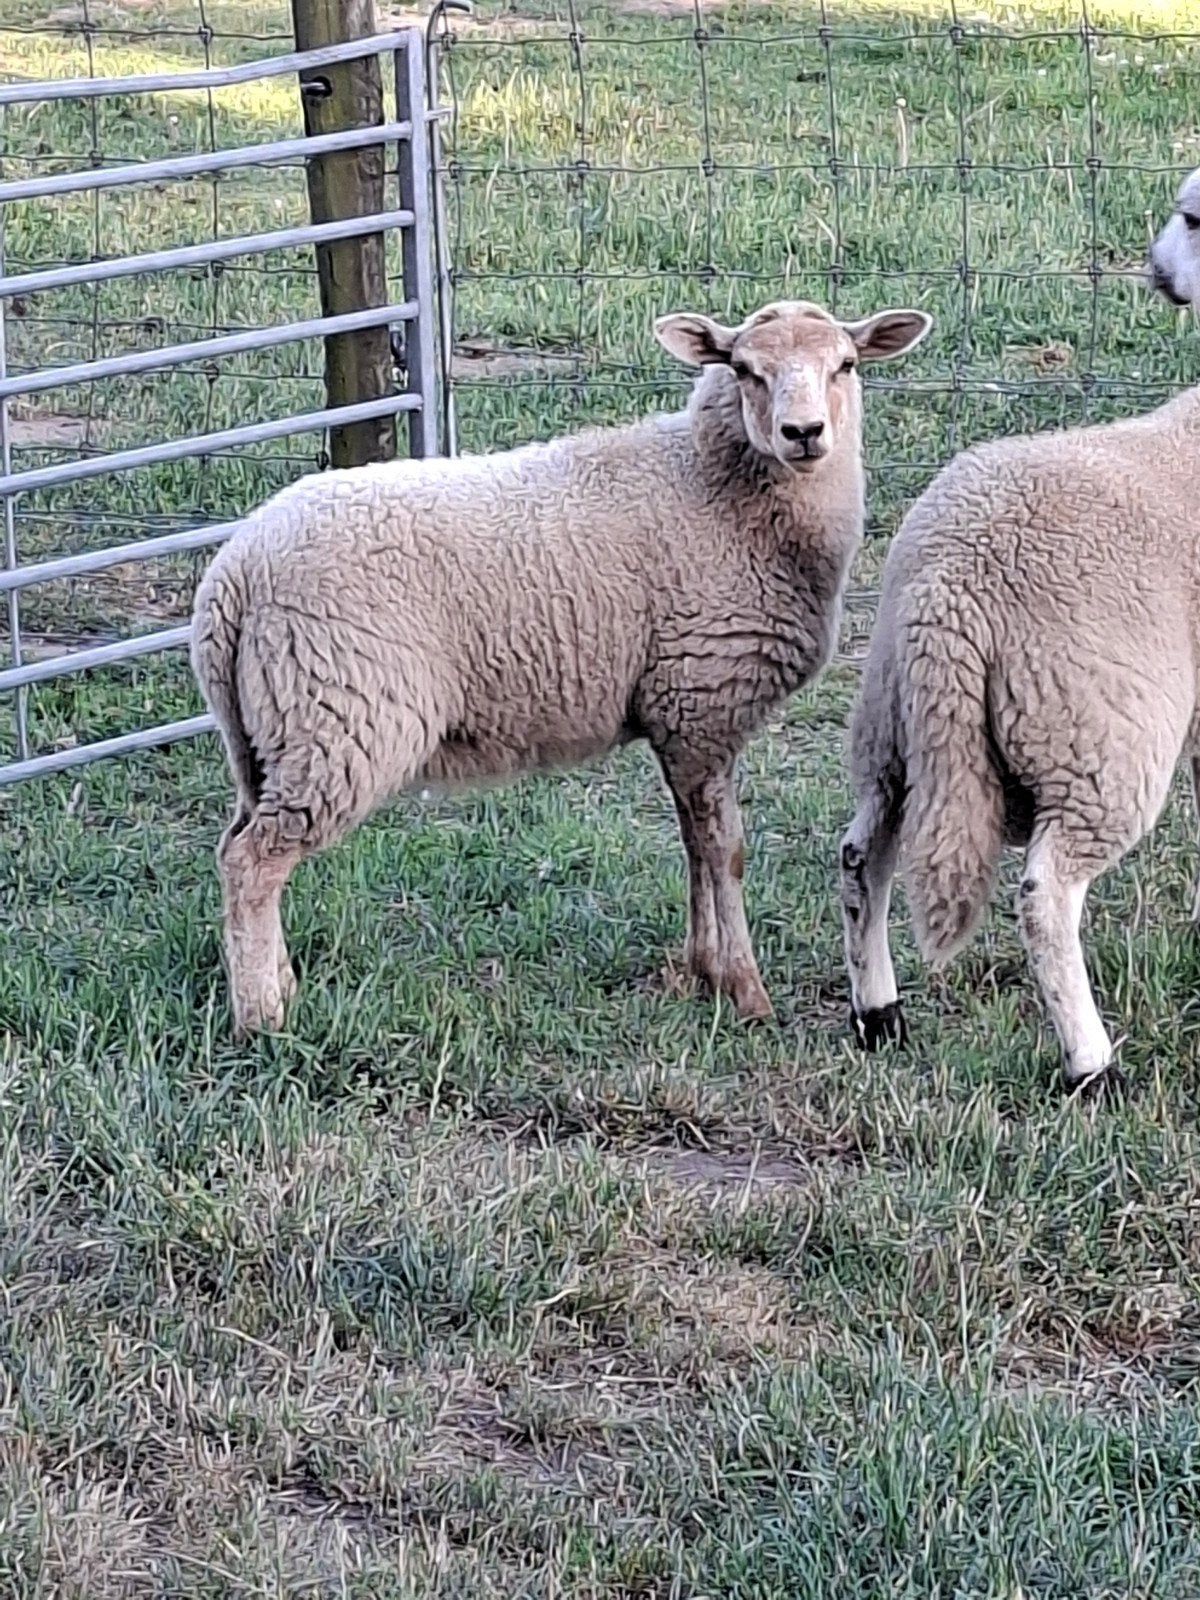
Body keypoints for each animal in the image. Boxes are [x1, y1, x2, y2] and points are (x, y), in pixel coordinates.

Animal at [191, 298, 933, 1037]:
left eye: (846, 364)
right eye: (746, 370)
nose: (802, 433)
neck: (711, 487)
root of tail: (234, 574)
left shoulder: (681, 717)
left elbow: (694, 845)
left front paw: (702, 970)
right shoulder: (701, 702)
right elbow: (726, 852)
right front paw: (745, 991)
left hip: (269, 737)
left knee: (240, 845)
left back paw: (280, 983)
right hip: (338, 720)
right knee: (253, 861)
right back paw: (262, 1018)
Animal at [840, 195, 1200, 1093]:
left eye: (1188, 216)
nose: (1154, 269)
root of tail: (951, 589)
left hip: (898, 726)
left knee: (863, 854)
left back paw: (878, 1016)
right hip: (1092, 735)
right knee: (1045, 894)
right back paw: (1090, 1065)